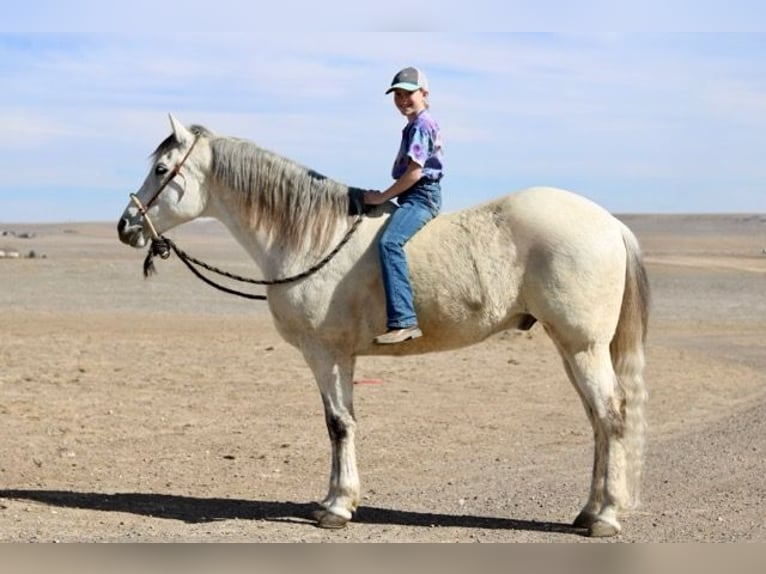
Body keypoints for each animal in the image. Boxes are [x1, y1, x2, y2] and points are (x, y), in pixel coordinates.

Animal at [117, 113, 652, 540]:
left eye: (161, 170)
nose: (126, 226)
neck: (312, 237)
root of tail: (609, 223)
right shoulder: (342, 357)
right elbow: (343, 422)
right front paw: (337, 499)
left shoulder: (326, 353)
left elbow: (338, 424)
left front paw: (335, 508)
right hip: (570, 348)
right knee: (597, 420)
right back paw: (588, 512)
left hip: (583, 346)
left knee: (612, 416)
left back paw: (605, 517)